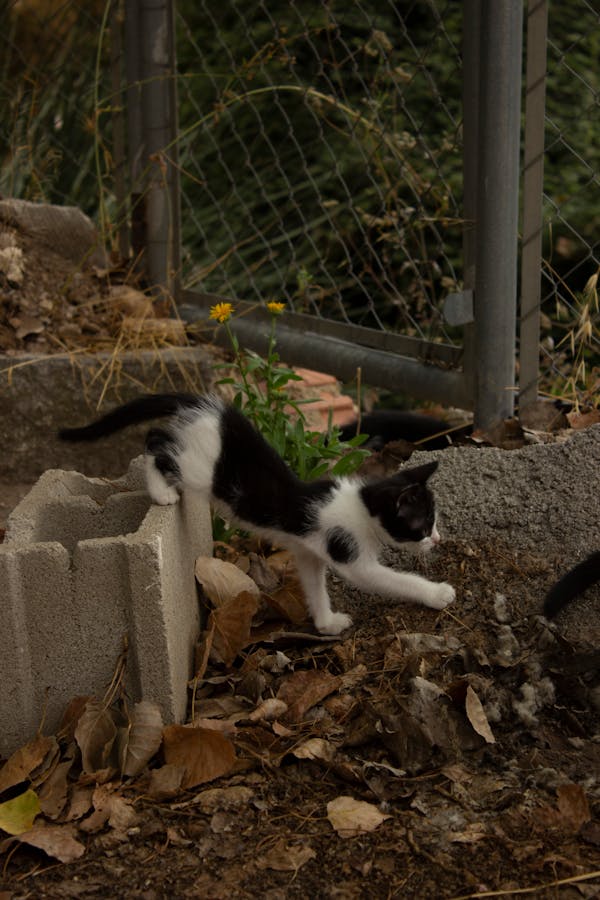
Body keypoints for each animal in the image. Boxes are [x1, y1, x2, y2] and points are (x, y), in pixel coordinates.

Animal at [59, 392, 454, 632]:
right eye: (423, 525)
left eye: (434, 523)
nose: (437, 539)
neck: (360, 506)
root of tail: (217, 411)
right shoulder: (350, 555)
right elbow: (391, 580)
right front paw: (437, 594)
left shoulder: (309, 551)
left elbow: (314, 583)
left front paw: (325, 622)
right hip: (201, 468)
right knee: (156, 443)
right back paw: (162, 492)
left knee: (158, 435)